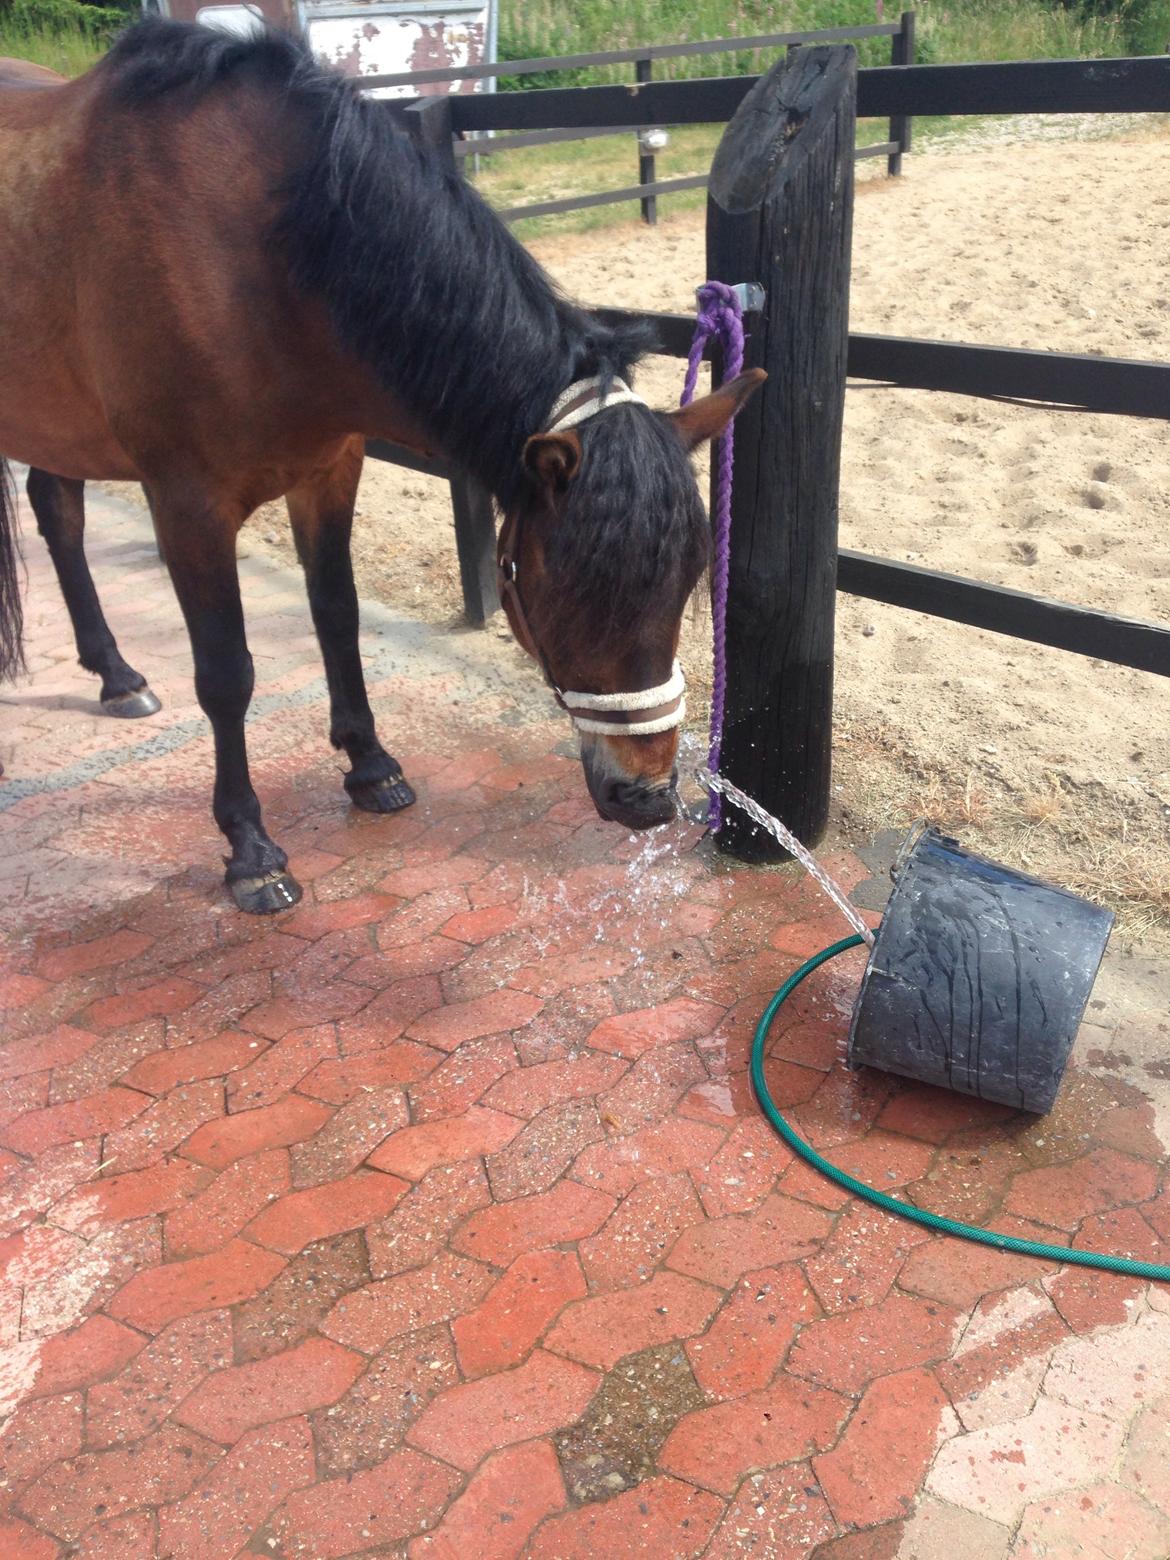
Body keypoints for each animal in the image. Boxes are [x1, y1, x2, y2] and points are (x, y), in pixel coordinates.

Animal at [0, 21, 764, 911]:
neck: (250, 257)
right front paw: (250, 848)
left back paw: (116, 674)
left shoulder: (329, 472)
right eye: (565, 587)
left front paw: (368, 765)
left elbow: (337, 615)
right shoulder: (186, 504)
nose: (646, 796)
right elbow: (226, 674)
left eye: (686, 583)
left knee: (56, 511)